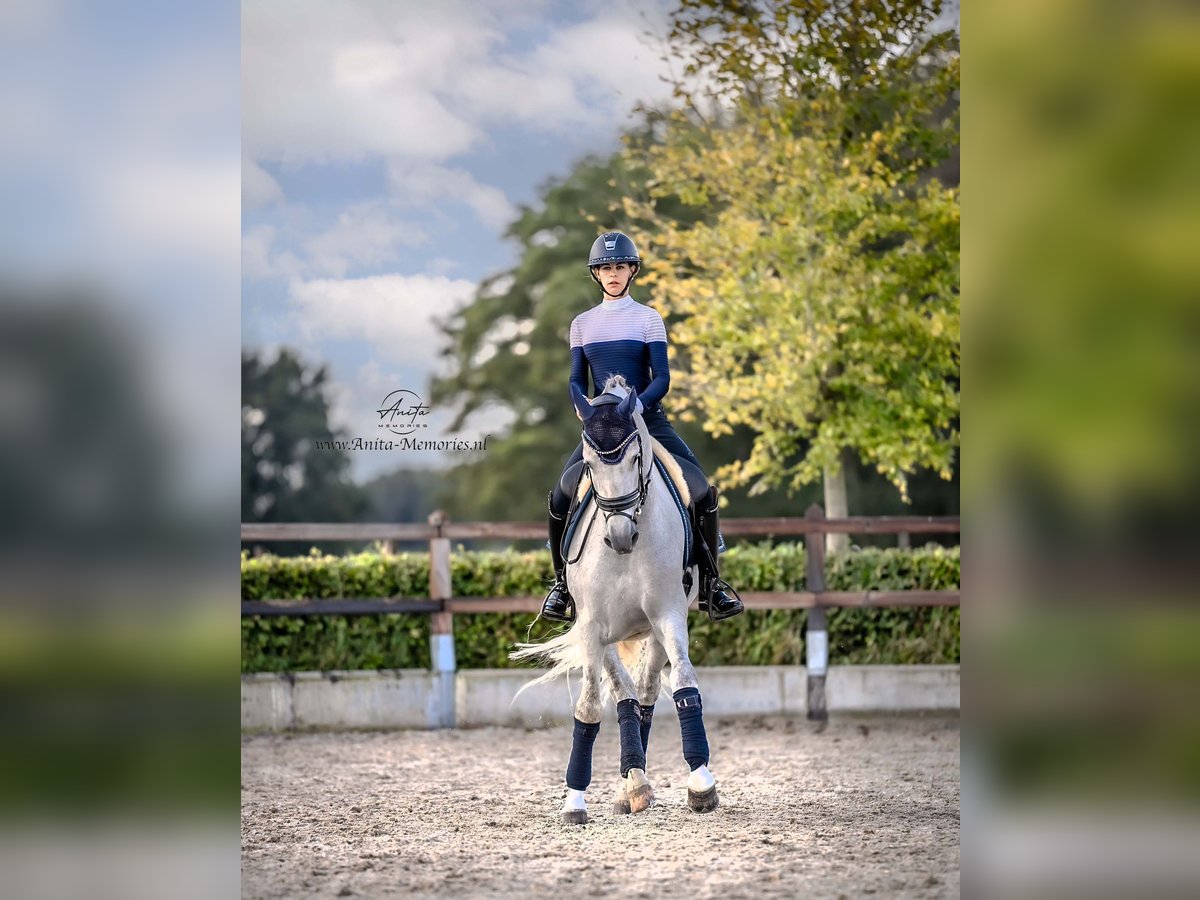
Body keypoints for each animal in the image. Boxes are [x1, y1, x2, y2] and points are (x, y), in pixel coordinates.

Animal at [511, 376, 715, 830]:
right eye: (590, 463)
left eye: (636, 456)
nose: (621, 536)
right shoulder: (591, 628)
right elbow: (589, 705)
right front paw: (574, 800)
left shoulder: (669, 615)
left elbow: (685, 684)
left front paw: (700, 782)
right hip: (600, 634)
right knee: (624, 694)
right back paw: (632, 785)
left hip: (652, 629)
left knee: (646, 694)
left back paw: (636, 782)